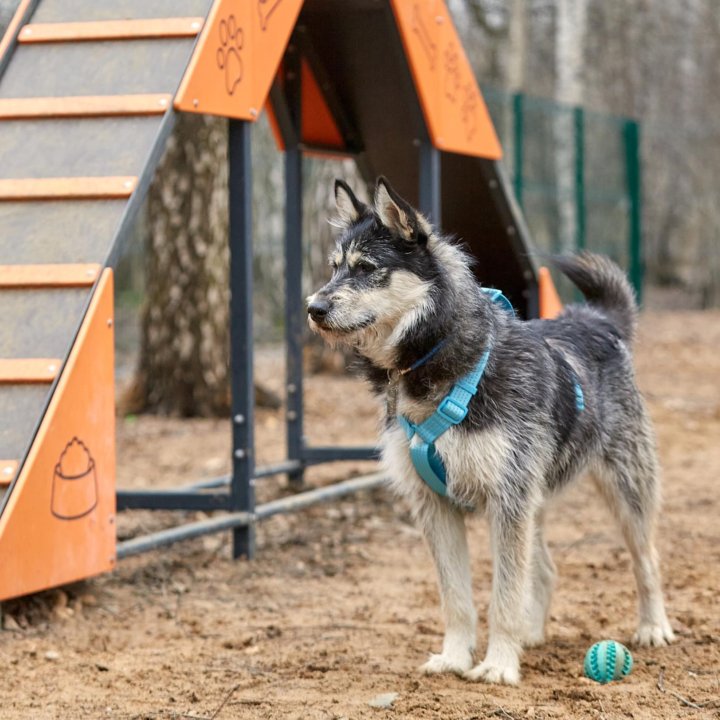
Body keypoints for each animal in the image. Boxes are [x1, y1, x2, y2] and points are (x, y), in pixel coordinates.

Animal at [306, 176, 676, 688]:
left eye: (366, 268)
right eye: (334, 267)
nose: (313, 307)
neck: (437, 363)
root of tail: (596, 321)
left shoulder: (508, 499)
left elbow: (503, 596)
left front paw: (499, 664)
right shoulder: (437, 507)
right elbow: (458, 600)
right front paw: (456, 657)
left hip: (625, 492)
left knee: (648, 560)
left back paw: (653, 626)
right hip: (535, 503)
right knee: (546, 569)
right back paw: (532, 634)